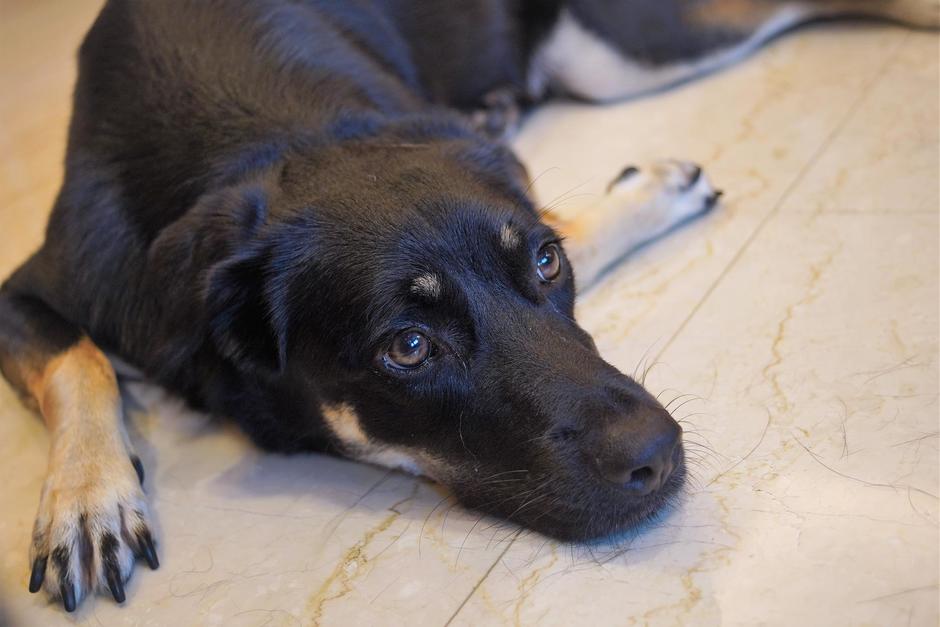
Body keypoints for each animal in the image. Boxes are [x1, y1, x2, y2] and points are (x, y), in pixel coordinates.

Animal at [1, 0, 932, 612]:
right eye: (409, 348)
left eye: (546, 264)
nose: (659, 455)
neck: (265, 138)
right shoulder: (31, 289)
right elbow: (81, 359)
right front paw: (87, 497)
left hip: (621, 50)